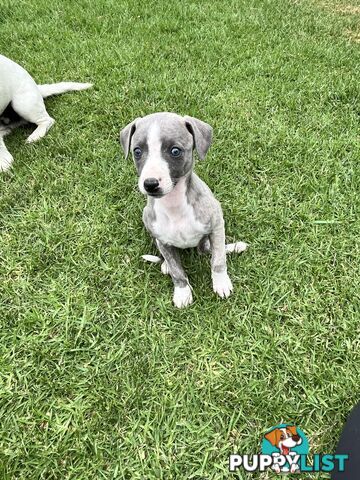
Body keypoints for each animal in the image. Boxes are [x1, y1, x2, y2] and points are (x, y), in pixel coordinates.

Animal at [121, 112, 248, 308]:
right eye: (137, 151)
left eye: (175, 151)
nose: (150, 184)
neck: (174, 204)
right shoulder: (163, 240)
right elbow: (177, 271)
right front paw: (182, 292)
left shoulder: (216, 225)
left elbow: (218, 260)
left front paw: (221, 283)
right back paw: (165, 264)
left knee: (212, 250)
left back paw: (234, 247)